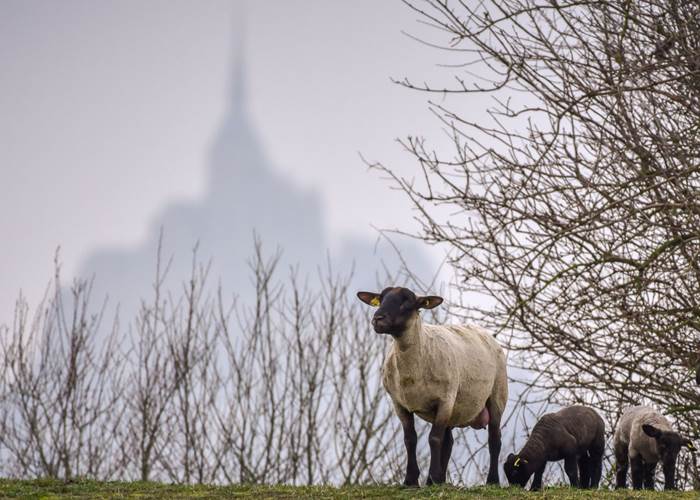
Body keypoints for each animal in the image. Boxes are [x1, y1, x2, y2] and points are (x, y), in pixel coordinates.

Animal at [356, 286, 508, 486]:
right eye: (380, 300)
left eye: (406, 302)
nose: (378, 319)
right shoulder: (400, 404)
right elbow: (410, 439)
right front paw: (411, 480)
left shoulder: (445, 400)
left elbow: (434, 439)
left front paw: (432, 476)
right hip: (454, 408)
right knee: (449, 442)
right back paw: (438, 480)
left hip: (496, 395)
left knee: (494, 439)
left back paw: (492, 481)